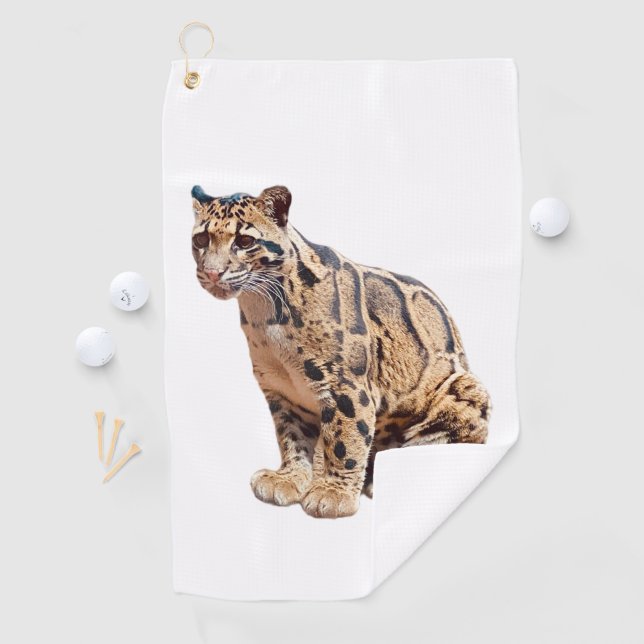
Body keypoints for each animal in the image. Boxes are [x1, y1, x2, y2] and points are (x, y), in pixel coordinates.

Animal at [190, 184, 490, 519]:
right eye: (200, 240)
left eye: (244, 241)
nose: (212, 273)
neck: (264, 312)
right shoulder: (282, 390)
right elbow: (292, 437)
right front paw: (291, 478)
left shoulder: (345, 385)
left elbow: (345, 439)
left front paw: (333, 493)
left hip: (464, 388)